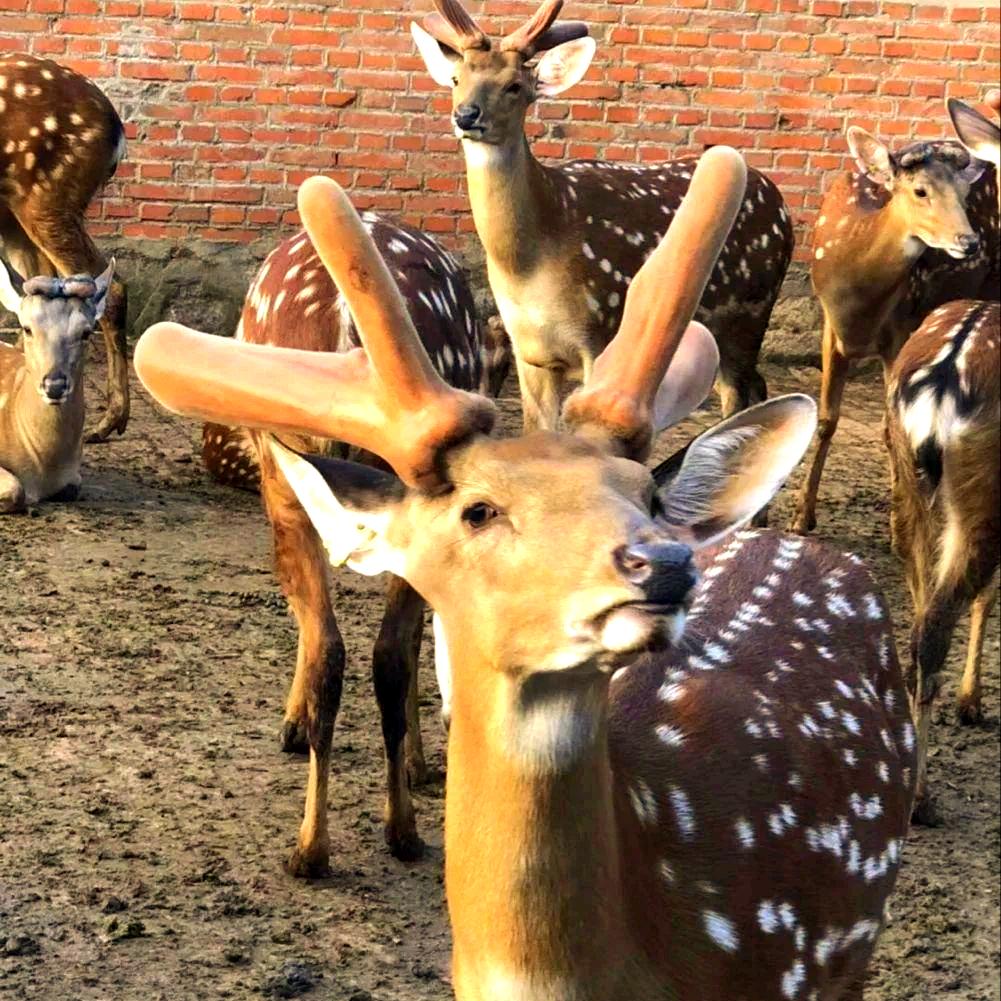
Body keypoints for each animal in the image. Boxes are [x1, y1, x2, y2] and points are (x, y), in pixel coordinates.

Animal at [0, 259, 113, 512]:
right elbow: (15, 489)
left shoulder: (73, 478)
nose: (54, 385)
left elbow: (72, 488)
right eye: (27, 328)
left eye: (86, 332)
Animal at [195, 210, 512, 863]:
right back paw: (392, 830)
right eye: (499, 365)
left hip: (288, 470)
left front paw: (295, 726)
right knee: (376, 648)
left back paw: (320, 844)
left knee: (341, 646)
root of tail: (344, 323)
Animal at [410, 0, 794, 433]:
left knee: (742, 394)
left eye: (515, 86)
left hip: (753, 309)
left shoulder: (602, 330)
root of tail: (780, 203)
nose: (466, 115)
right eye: (456, 78)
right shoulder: (528, 351)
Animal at [790, 106, 999, 534]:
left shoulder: (900, 328)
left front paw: (896, 516)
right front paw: (802, 516)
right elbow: (826, 419)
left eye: (964, 195)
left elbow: (890, 428)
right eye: (920, 191)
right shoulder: (830, 327)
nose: (969, 241)